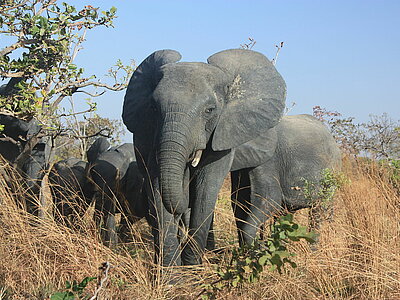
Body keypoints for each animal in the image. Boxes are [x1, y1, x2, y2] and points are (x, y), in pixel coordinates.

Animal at [122, 48, 288, 266]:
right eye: (154, 108)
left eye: (210, 110)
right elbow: (157, 188)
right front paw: (170, 272)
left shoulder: (223, 133)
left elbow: (206, 189)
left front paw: (192, 268)